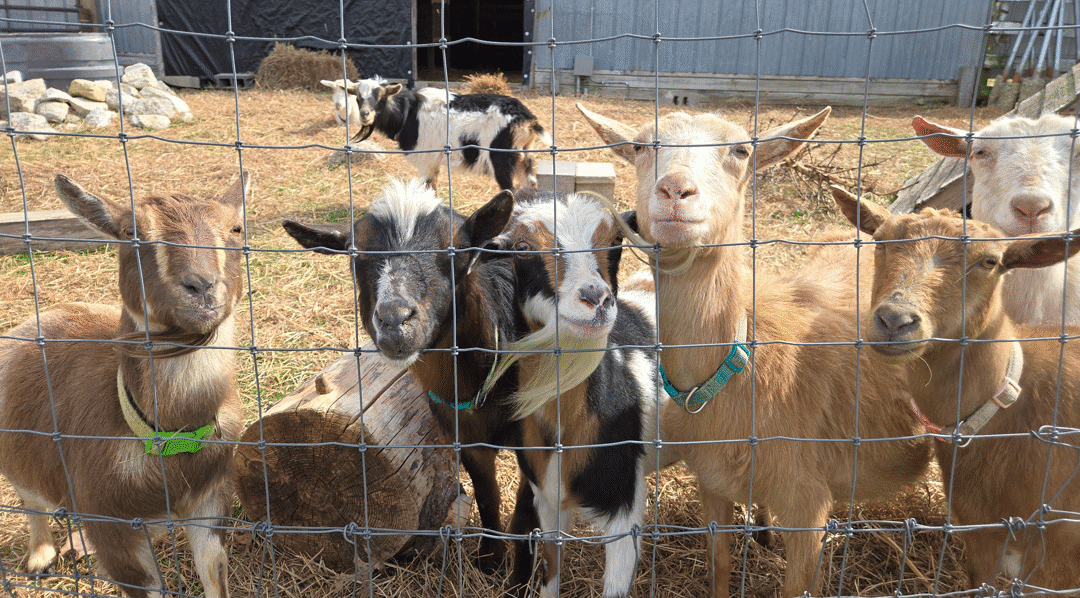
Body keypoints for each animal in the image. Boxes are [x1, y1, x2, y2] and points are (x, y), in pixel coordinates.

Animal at [0, 173, 248, 598]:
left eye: (235, 228)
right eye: (130, 233)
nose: (201, 286)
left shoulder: (211, 498)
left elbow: (213, 568)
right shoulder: (113, 528)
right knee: (31, 498)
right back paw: (40, 557)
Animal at [282, 179, 526, 574]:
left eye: (457, 250)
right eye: (355, 256)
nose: (395, 320)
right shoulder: (466, 437)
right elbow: (488, 495)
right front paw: (490, 561)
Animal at [350, 76, 551, 190]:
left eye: (381, 97)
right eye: (358, 98)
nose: (365, 115)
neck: (409, 113)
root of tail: (528, 119)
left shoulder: (426, 159)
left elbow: (428, 188)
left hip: (500, 156)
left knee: (509, 189)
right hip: (524, 153)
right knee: (530, 184)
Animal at [477, 188, 657, 598]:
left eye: (615, 240)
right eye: (522, 247)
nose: (595, 298)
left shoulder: (625, 507)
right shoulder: (546, 495)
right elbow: (551, 566)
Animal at [578, 104, 933, 598]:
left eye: (742, 151)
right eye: (640, 146)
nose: (675, 191)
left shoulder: (807, 508)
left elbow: (797, 588)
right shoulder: (712, 482)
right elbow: (720, 563)